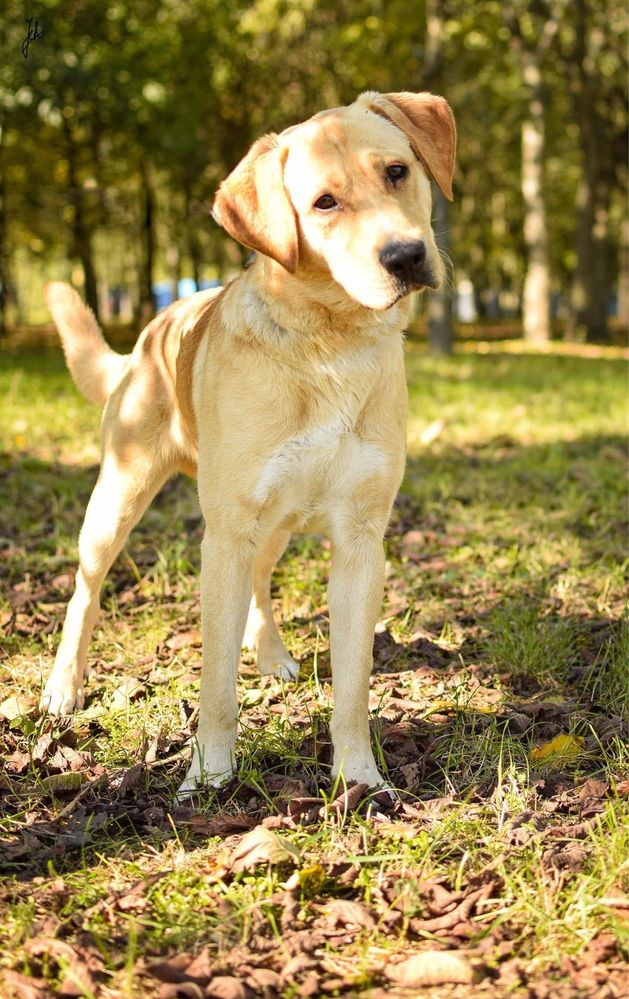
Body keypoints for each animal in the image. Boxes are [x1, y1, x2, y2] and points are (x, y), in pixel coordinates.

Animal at [39, 92, 454, 796]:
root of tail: (147, 335)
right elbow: (215, 687)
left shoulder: (360, 540)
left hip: (274, 523)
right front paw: (208, 775)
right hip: (117, 501)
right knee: (84, 592)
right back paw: (64, 686)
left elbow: (353, 687)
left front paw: (359, 779)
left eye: (397, 172)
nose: (404, 256)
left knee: (261, 580)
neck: (328, 345)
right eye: (324, 203)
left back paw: (272, 653)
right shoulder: (225, 537)